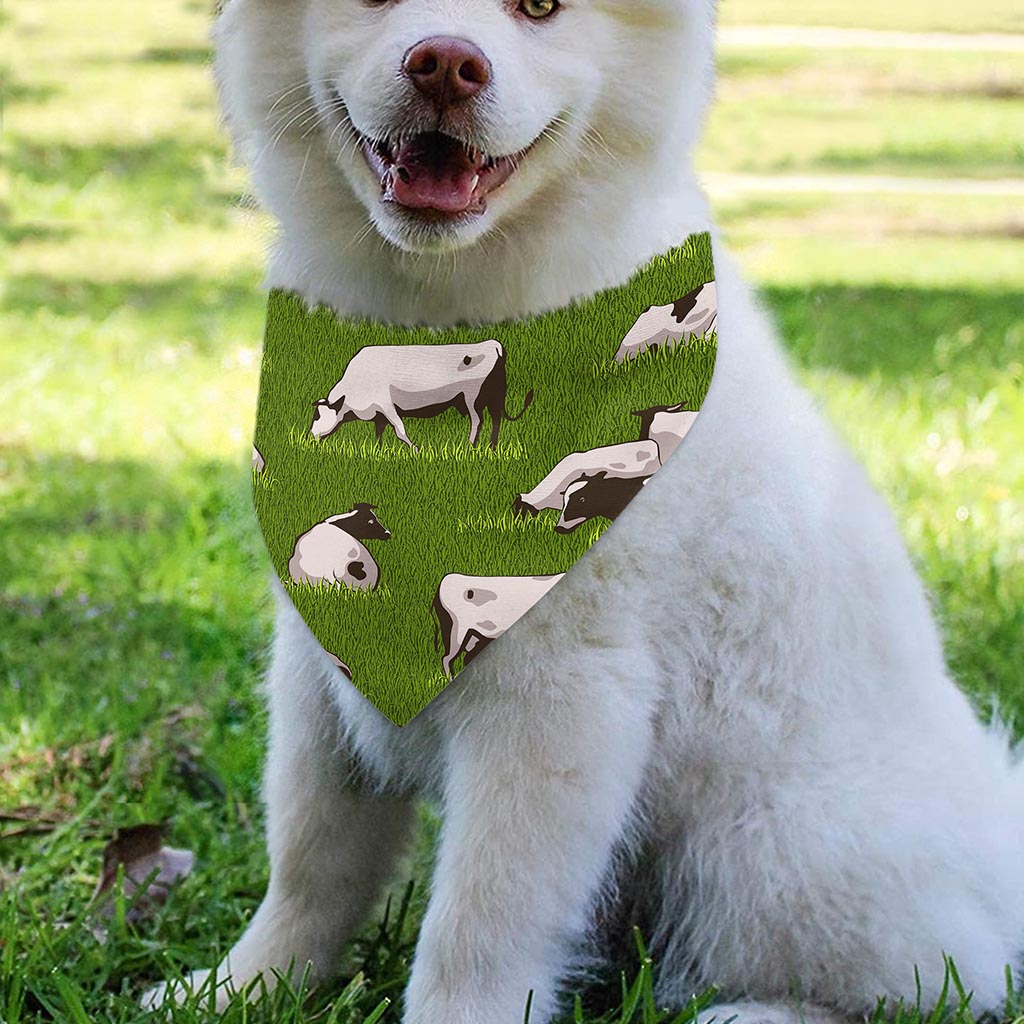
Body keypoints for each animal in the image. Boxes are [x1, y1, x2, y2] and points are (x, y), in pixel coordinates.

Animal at [310, 340, 533, 450]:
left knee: (478, 420)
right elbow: (379, 430)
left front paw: (415, 449)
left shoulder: (385, 403)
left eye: (317, 416)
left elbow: (399, 429)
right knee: (496, 419)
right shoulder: (379, 411)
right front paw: (378, 450)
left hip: (472, 396)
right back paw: (492, 447)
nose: (310, 436)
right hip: (493, 395)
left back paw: (470, 446)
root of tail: (493, 344)